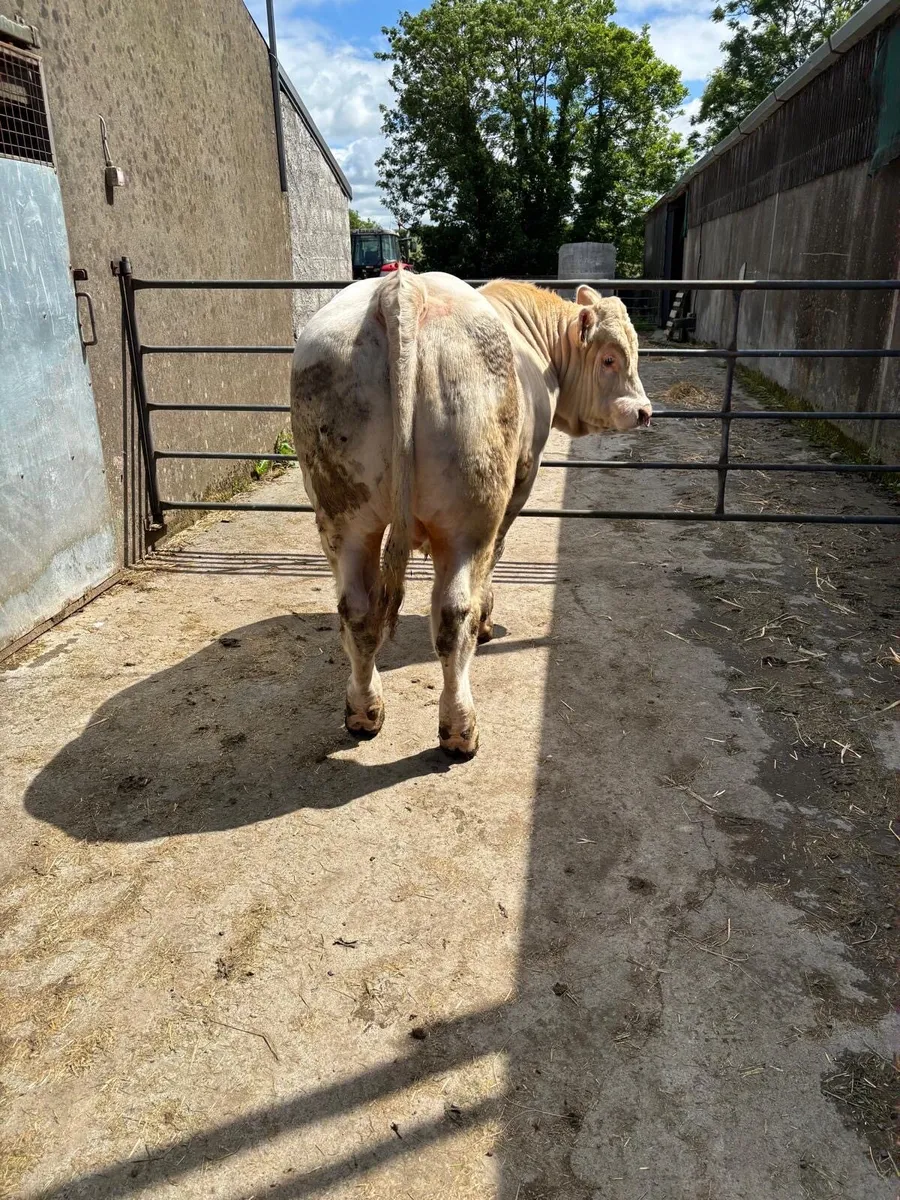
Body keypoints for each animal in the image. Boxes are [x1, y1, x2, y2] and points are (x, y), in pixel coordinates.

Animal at [290, 270, 651, 758]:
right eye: (611, 358)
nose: (644, 411)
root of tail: (404, 286)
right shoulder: (520, 482)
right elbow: (496, 559)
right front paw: (487, 619)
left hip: (343, 514)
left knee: (358, 611)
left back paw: (364, 712)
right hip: (470, 515)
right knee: (452, 614)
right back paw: (460, 729)